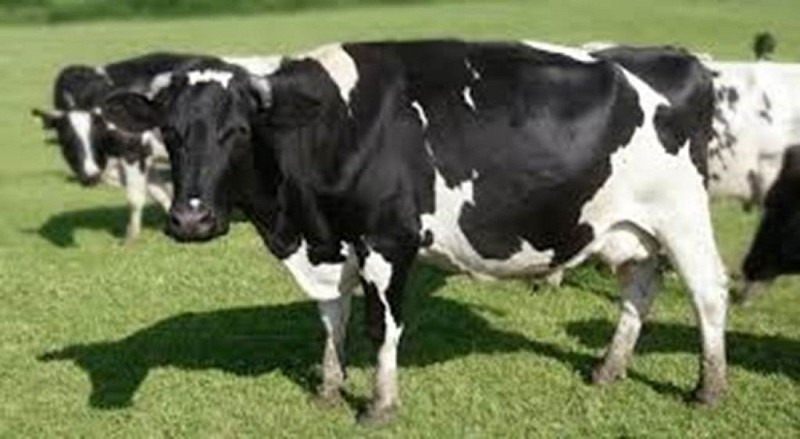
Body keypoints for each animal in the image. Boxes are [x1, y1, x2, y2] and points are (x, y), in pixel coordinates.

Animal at [32, 53, 282, 243]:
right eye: (67, 140)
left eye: (95, 134)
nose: (89, 175)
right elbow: (160, 193)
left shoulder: (134, 154)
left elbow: (135, 197)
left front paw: (130, 238)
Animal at [101, 40, 729, 424]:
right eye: (170, 133)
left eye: (236, 131)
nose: (190, 220)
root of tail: (676, 57)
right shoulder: (333, 244)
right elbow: (331, 319)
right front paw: (328, 389)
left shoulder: (386, 241)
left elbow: (381, 327)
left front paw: (379, 404)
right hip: (627, 227)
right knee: (640, 288)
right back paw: (608, 368)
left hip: (682, 214)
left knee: (707, 293)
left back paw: (709, 388)